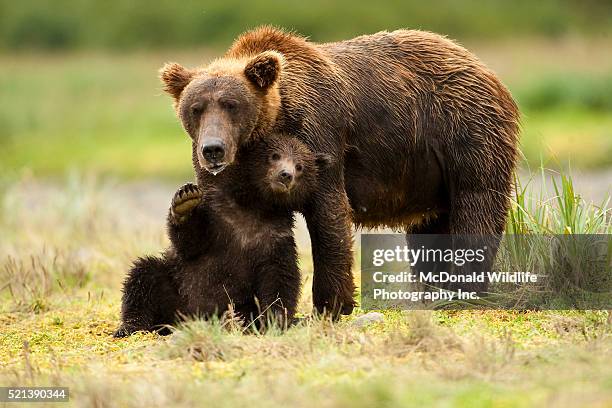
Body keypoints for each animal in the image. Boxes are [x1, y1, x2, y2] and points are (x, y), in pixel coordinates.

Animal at [160, 27, 520, 318]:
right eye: (195, 108)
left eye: (231, 105)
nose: (213, 149)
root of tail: (480, 65)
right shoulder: (229, 178)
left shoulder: (318, 136)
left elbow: (328, 216)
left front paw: (333, 303)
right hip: (427, 173)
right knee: (429, 227)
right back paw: (432, 291)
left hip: (463, 131)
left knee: (477, 203)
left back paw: (465, 288)